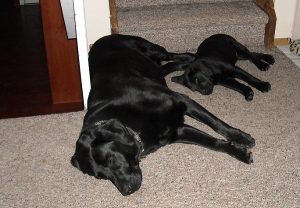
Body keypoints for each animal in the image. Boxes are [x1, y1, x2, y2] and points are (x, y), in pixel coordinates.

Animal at [71, 33, 254, 195]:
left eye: (110, 159)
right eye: (101, 177)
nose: (126, 191)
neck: (131, 120)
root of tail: (100, 39)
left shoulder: (182, 100)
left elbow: (216, 123)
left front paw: (241, 138)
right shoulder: (178, 131)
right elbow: (212, 143)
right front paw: (239, 152)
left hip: (152, 48)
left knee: (173, 55)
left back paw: (190, 59)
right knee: (166, 66)